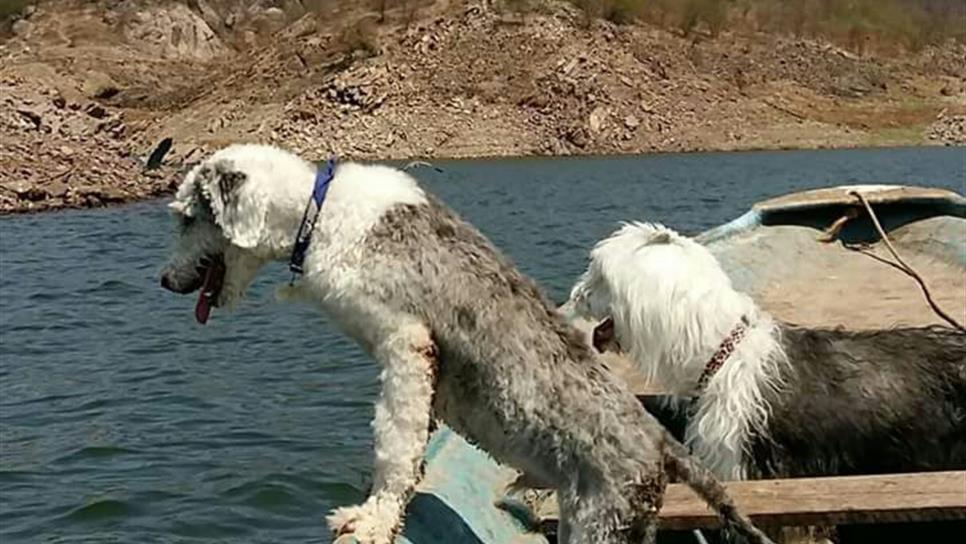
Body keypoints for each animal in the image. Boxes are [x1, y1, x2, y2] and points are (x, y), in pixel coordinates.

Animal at [161, 144, 780, 544]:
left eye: (188, 217)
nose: (165, 280)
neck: (318, 216)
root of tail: (663, 446)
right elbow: (413, 443)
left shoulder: (405, 345)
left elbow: (393, 445)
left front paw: (370, 519)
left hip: (600, 522)